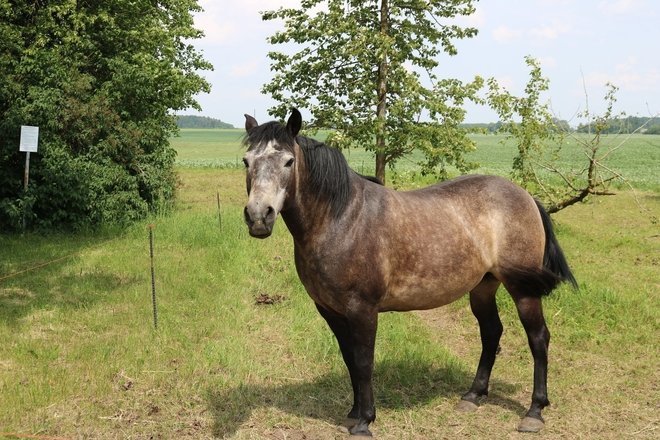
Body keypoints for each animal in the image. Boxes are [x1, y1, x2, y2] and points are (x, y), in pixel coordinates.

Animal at [242, 108, 576, 434]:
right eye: (246, 161)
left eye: (289, 161)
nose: (259, 216)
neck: (341, 219)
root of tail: (527, 196)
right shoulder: (330, 310)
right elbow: (349, 359)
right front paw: (353, 413)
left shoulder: (362, 309)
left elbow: (363, 361)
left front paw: (365, 421)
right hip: (483, 286)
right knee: (491, 332)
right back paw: (473, 395)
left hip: (523, 290)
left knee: (538, 338)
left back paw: (534, 412)